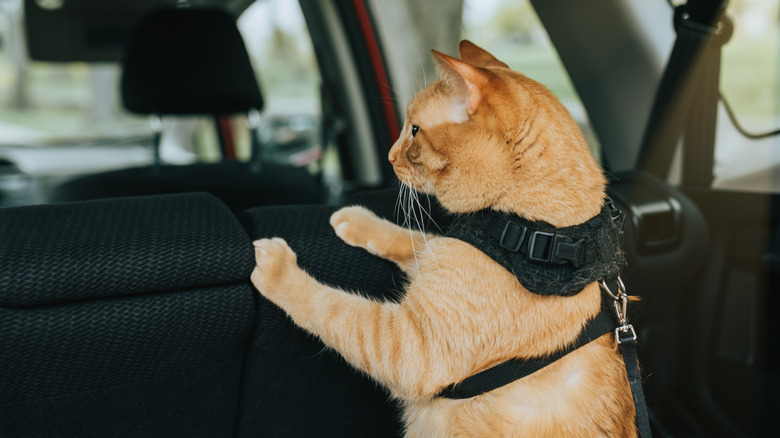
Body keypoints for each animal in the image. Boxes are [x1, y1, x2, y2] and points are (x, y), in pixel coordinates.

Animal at [253, 40, 636, 434]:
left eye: (414, 130)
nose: (389, 156)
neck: (535, 233)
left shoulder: (409, 347)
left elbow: (332, 308)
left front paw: (278, 269)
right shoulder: (441, 251)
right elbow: (410, 238)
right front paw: (355, 219)